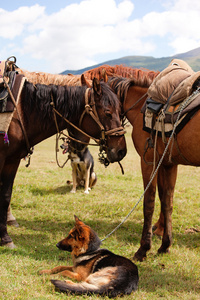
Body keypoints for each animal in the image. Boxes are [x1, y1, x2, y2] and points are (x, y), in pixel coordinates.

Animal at [0, 75, 126, 248]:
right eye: (108, 113)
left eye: (120, 112)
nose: (122, 150)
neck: (21, 114)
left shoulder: (12, 161)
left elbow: (5, 196)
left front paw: (5, 238)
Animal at [108, 69, 200, 262]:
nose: (117, 151)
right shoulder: (168, 164)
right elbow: (167, 202)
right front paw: (165, 245)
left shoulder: (148, 161)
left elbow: (148, 203)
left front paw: (143, 249)